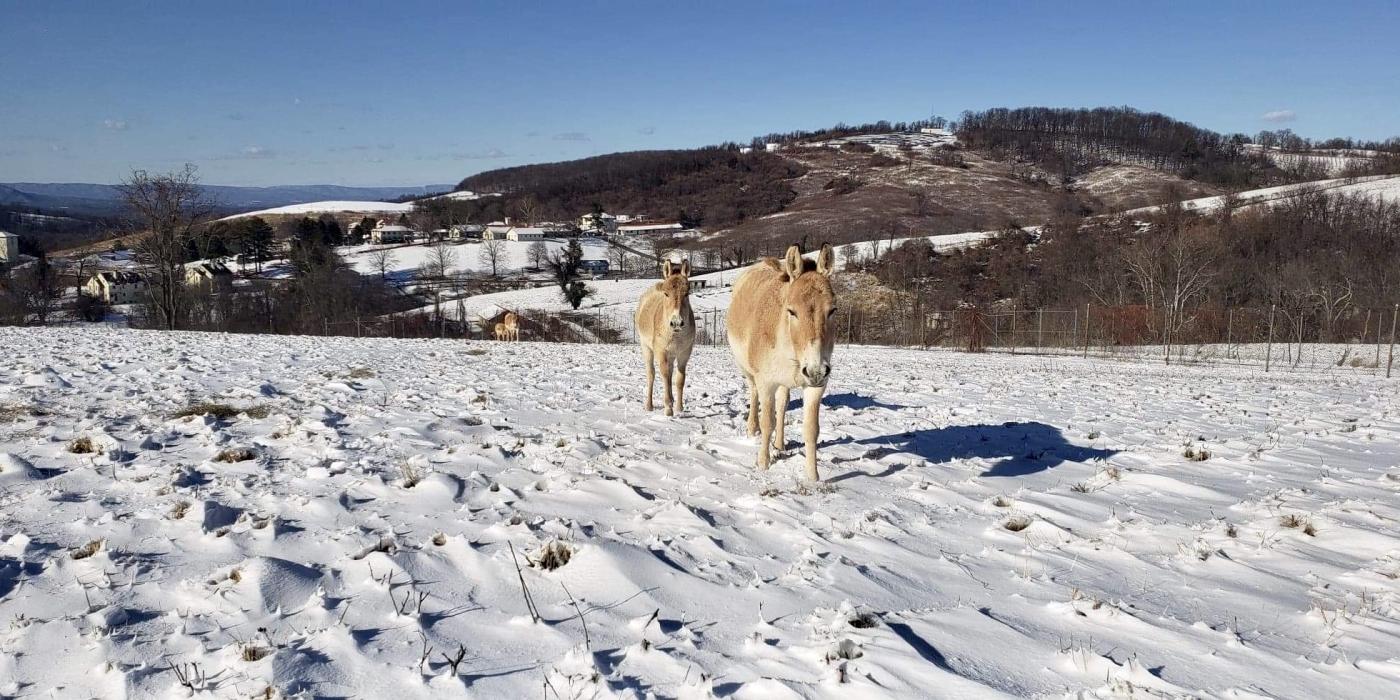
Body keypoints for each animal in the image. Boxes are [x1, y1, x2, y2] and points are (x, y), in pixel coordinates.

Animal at [638, 261, 697, 414]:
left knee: (670, 374)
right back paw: (649, 405)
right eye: (666, 293)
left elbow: (679, 379)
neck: (675, 334)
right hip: (646, 348)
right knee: (651, 374)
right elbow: (664, 376)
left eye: (687, 293)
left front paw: (679, 407)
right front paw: (668, 409)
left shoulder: (684, 353)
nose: (676, 322)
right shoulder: (661, 352)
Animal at [728, 243, 834, 478]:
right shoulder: (766, 382)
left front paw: (813, 477)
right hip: (749, 371)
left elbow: (811, 430)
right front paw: (763, 463)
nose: (816, 371)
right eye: (791, 311)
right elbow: (768, 421)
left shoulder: (815, 387)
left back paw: (780, 444)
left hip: (786, 381)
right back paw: (752, 430)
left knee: (782, 403)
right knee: (754, 394)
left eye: (832, 311)